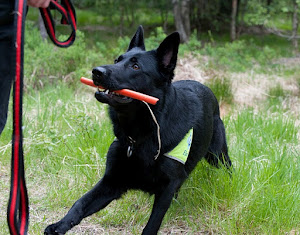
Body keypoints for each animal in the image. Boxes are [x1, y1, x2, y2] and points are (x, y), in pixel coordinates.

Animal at [45, 25, 232, 235]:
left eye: (135, 67)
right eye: (117, 60)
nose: (96, 72)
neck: (138, 136)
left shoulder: (167, 188)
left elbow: (152, 224)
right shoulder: (112, 182)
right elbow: (79, 203)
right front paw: (59, 225)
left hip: (218, 156)